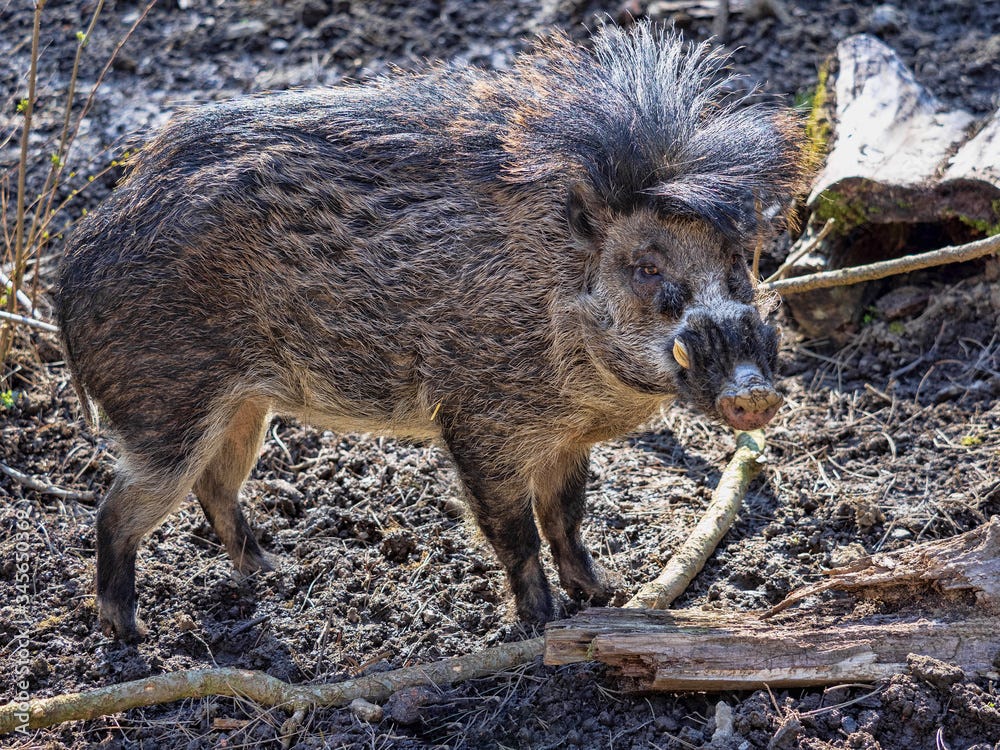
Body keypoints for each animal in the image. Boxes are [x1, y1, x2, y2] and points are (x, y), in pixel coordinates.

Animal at [56, 22, 809, 642]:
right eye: (646, 267)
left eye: (738, 262)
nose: (754, 392)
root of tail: (77, 260)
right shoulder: (479, 423)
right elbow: (514, 531)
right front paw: (541, 621)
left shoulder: (565, 439)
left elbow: (566, 517)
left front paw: (606, 594)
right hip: (167, 405)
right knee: (119, 509)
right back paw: (131, 633)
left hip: (245, 406)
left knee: (216, 487)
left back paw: (275, 569)